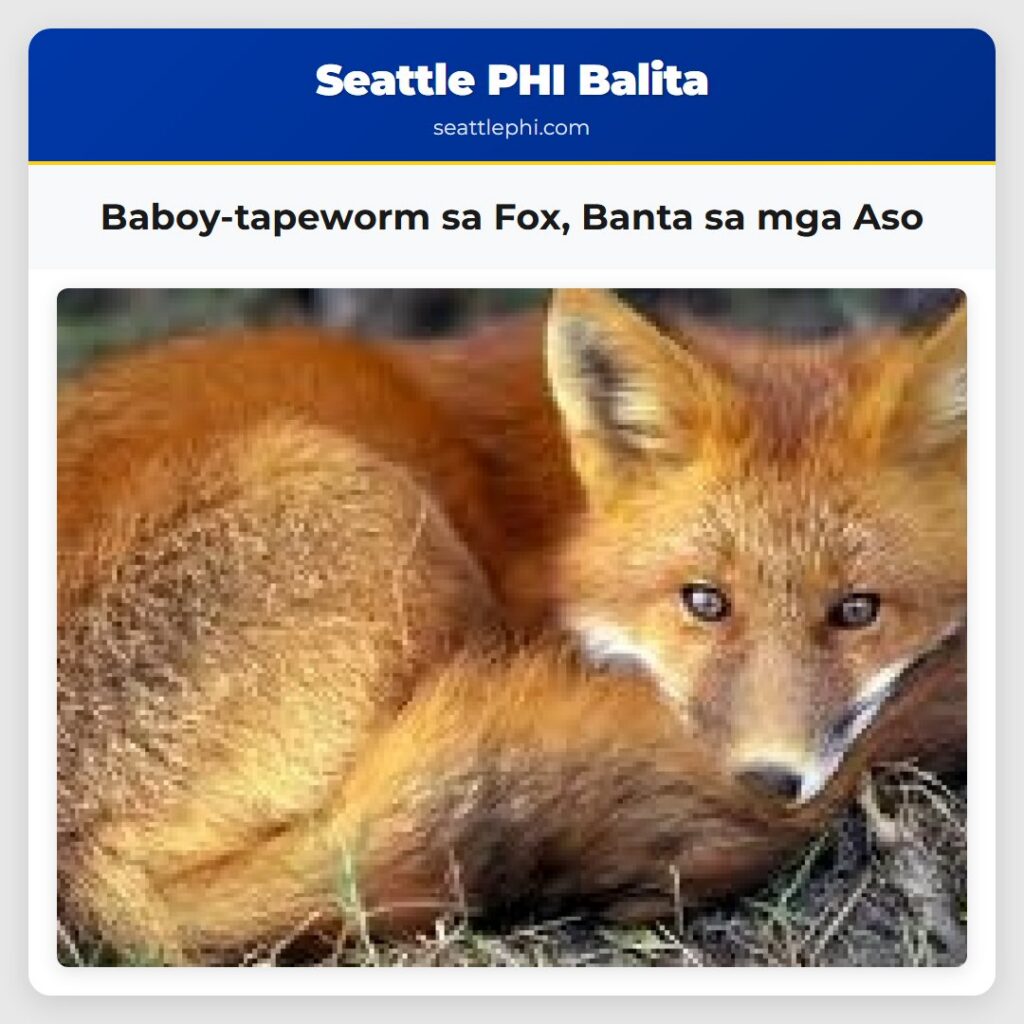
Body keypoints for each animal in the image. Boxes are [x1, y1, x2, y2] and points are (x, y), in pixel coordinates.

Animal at [56, 289, 966, 962]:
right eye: (704, 601)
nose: (769, 782)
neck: (566, 503)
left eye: (857, 611)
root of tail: (91, 880)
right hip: (386, 513)